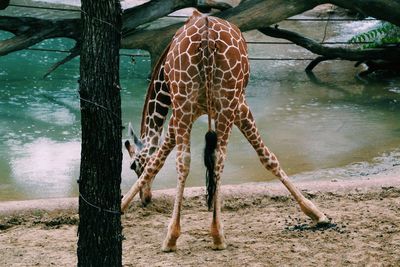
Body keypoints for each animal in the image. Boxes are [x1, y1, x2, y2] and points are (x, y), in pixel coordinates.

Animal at [122, 10, 328, 252]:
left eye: (133, 165)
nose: (146, 199)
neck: (162, 82)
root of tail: (207, 34)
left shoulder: (187, 114)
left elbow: (156, 161)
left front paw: (316, 213)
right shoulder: (226, 107)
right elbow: (267, 157)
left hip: (201, 104)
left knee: (193, 160)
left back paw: (183, 236)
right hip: (218, 103)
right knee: (210, 159)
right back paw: (211, 235)